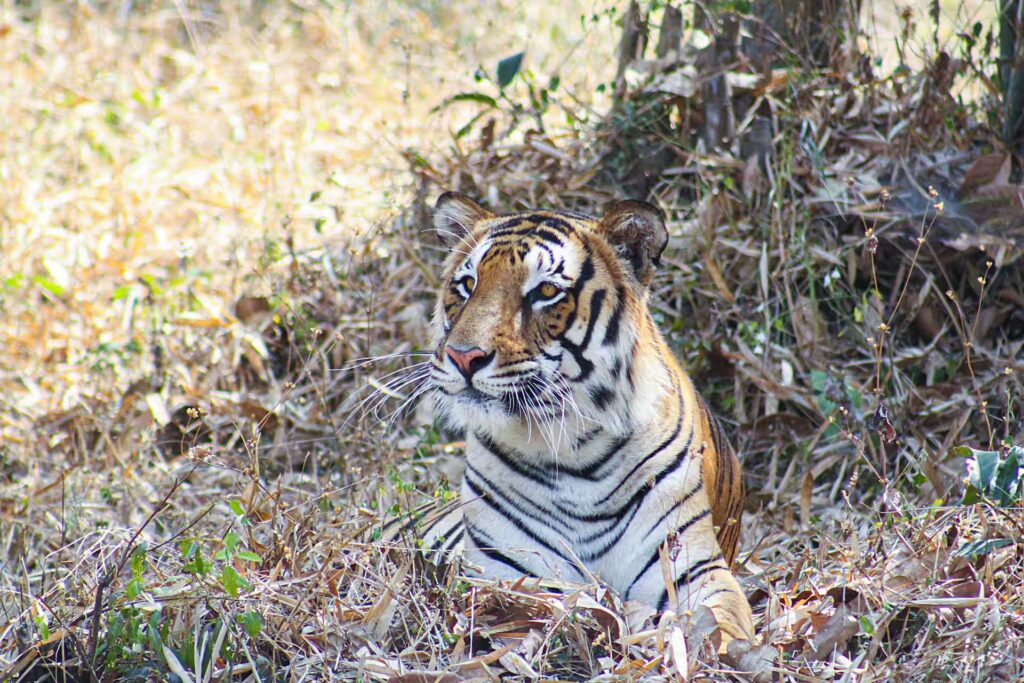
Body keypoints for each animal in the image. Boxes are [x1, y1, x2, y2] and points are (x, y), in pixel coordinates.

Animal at [394, 192, 754, 646]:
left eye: (545, 291)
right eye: (467, 284)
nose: (463, 356)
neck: (574, 451)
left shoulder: (692, 566)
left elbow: (722, 626)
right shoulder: (507, 573)